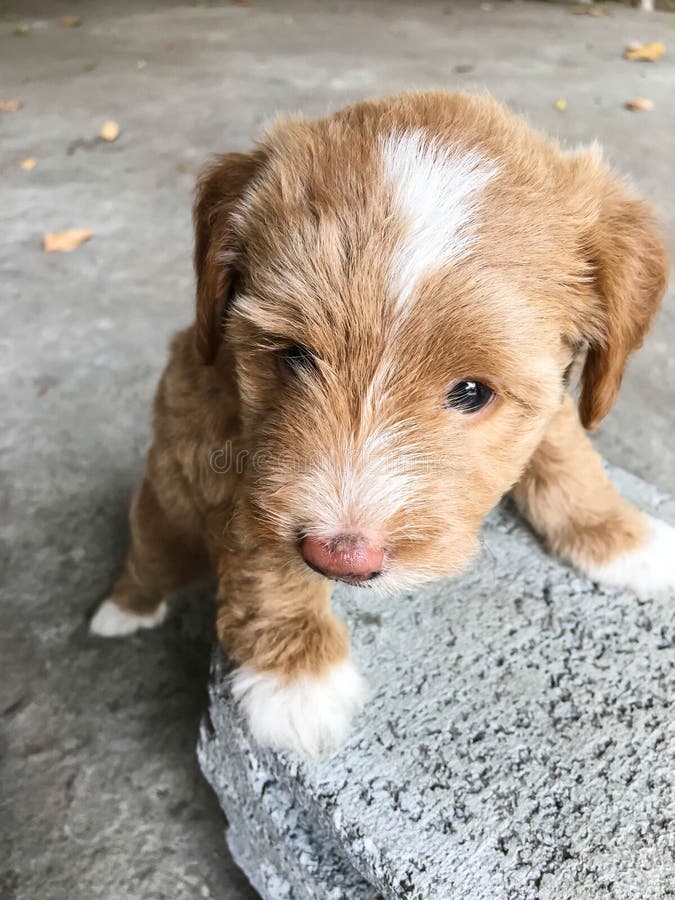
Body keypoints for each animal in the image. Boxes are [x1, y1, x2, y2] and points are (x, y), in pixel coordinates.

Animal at [91, 91, 672, 756]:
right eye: (294, 355)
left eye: (472, 391)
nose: (340, 558)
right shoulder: (234, 451)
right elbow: (262, 551)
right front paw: (296, 676)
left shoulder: (547, 399)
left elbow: (566, 450)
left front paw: (621, 536)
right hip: (163, 498)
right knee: (150, 552)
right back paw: (123, 609)